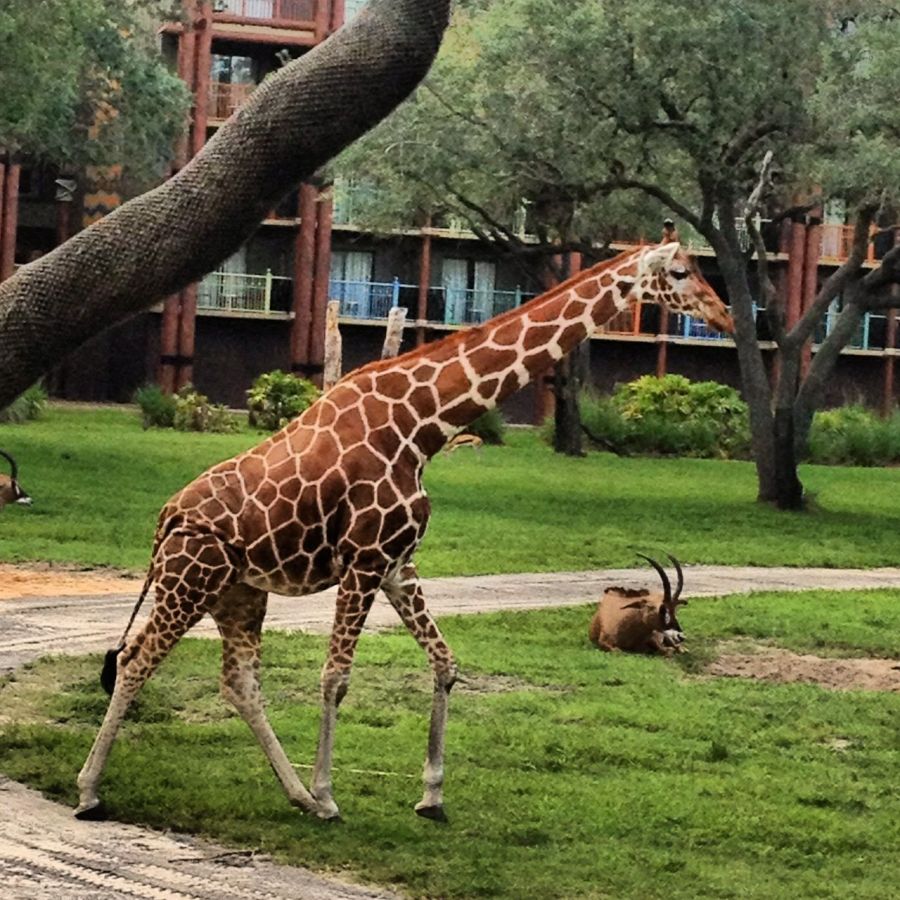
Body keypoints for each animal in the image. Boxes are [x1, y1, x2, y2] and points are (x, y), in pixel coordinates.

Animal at [75, 241, 732, 823]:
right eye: (679, 272)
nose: (723, 315)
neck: (423, 425)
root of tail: (165, 520)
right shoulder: (363, 560)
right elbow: (336, 677)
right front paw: (332, 796)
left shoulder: (397, 564)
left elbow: (445, 662)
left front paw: (431, 796)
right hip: (190, 580)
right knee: (135, 660)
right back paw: (91, 792)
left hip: (238, 593)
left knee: (238, 682)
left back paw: (295, 797)